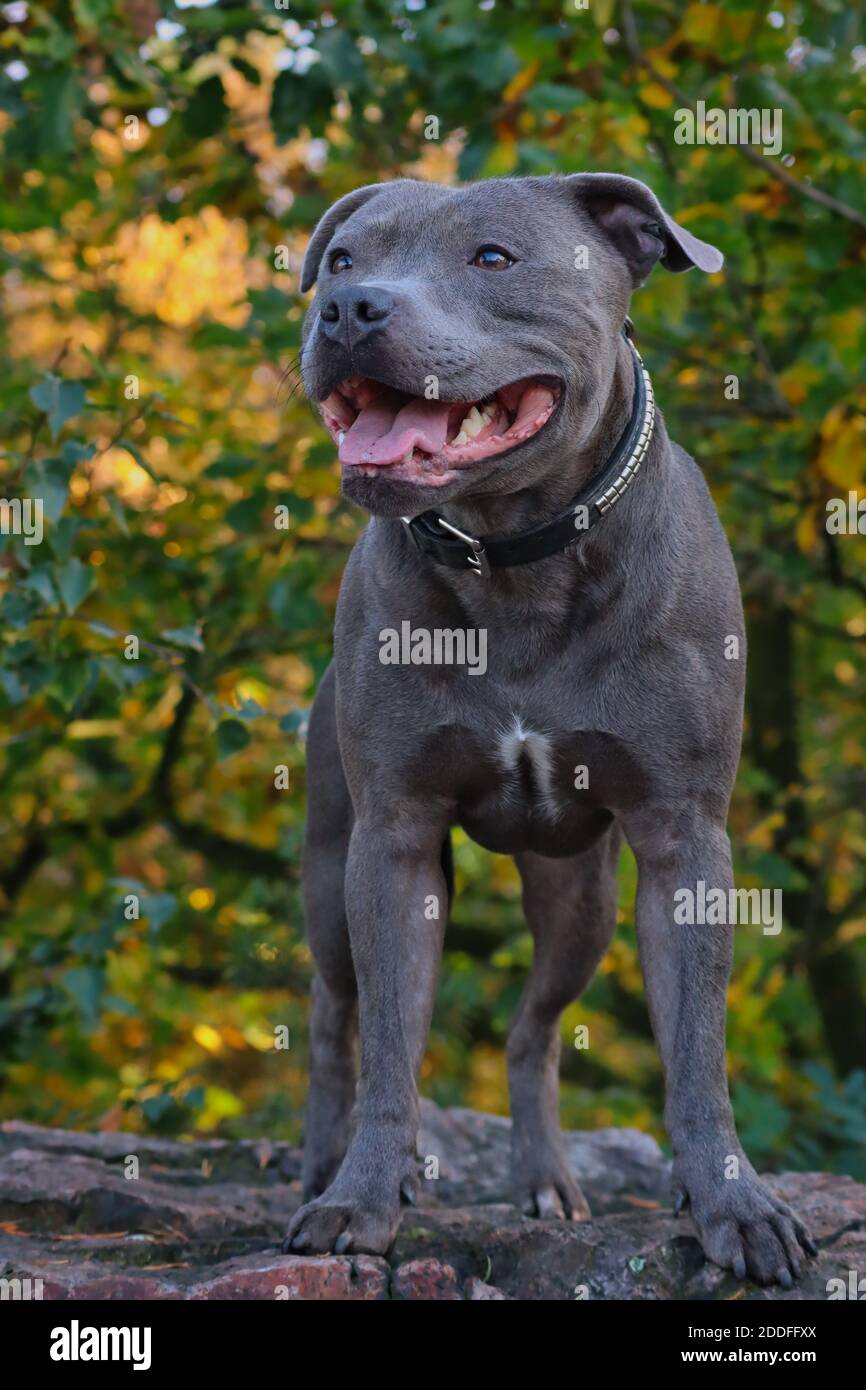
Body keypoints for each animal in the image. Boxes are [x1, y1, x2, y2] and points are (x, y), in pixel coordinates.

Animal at [283, 176, 811, 1289]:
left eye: (493, 257)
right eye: (344, 258)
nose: (346, 310)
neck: (515, 556)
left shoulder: (682, 841)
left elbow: (697, 1049)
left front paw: (732, 1205)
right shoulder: (391, 841)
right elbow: (390, 1045)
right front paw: (360, 1198)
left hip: (580, 900)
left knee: (532, 1028)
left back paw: (543, 1180)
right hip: (327, 865)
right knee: (336, 1012)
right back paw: (321, 1160)